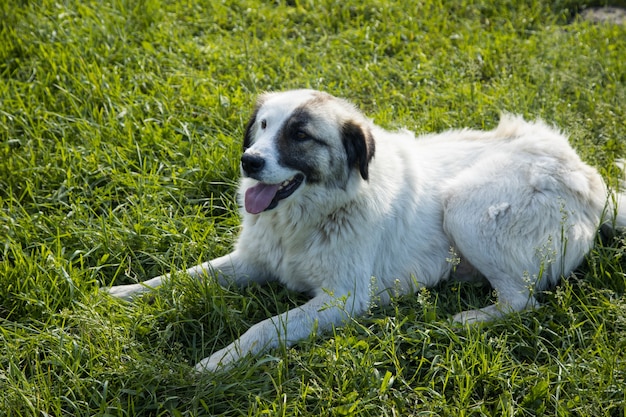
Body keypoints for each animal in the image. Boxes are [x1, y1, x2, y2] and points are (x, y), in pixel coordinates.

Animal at [107, 88, 624, 370]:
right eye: (263, 127)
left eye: (299, 135)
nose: (248, 162)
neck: (310, 213)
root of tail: (589, 176)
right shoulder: (252, 261)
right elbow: (181, 276)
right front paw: (120, 294)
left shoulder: (343, 297)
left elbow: (261, 327)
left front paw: (216, 363)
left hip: (463, 207)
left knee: (522, 302)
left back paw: (455, 322)